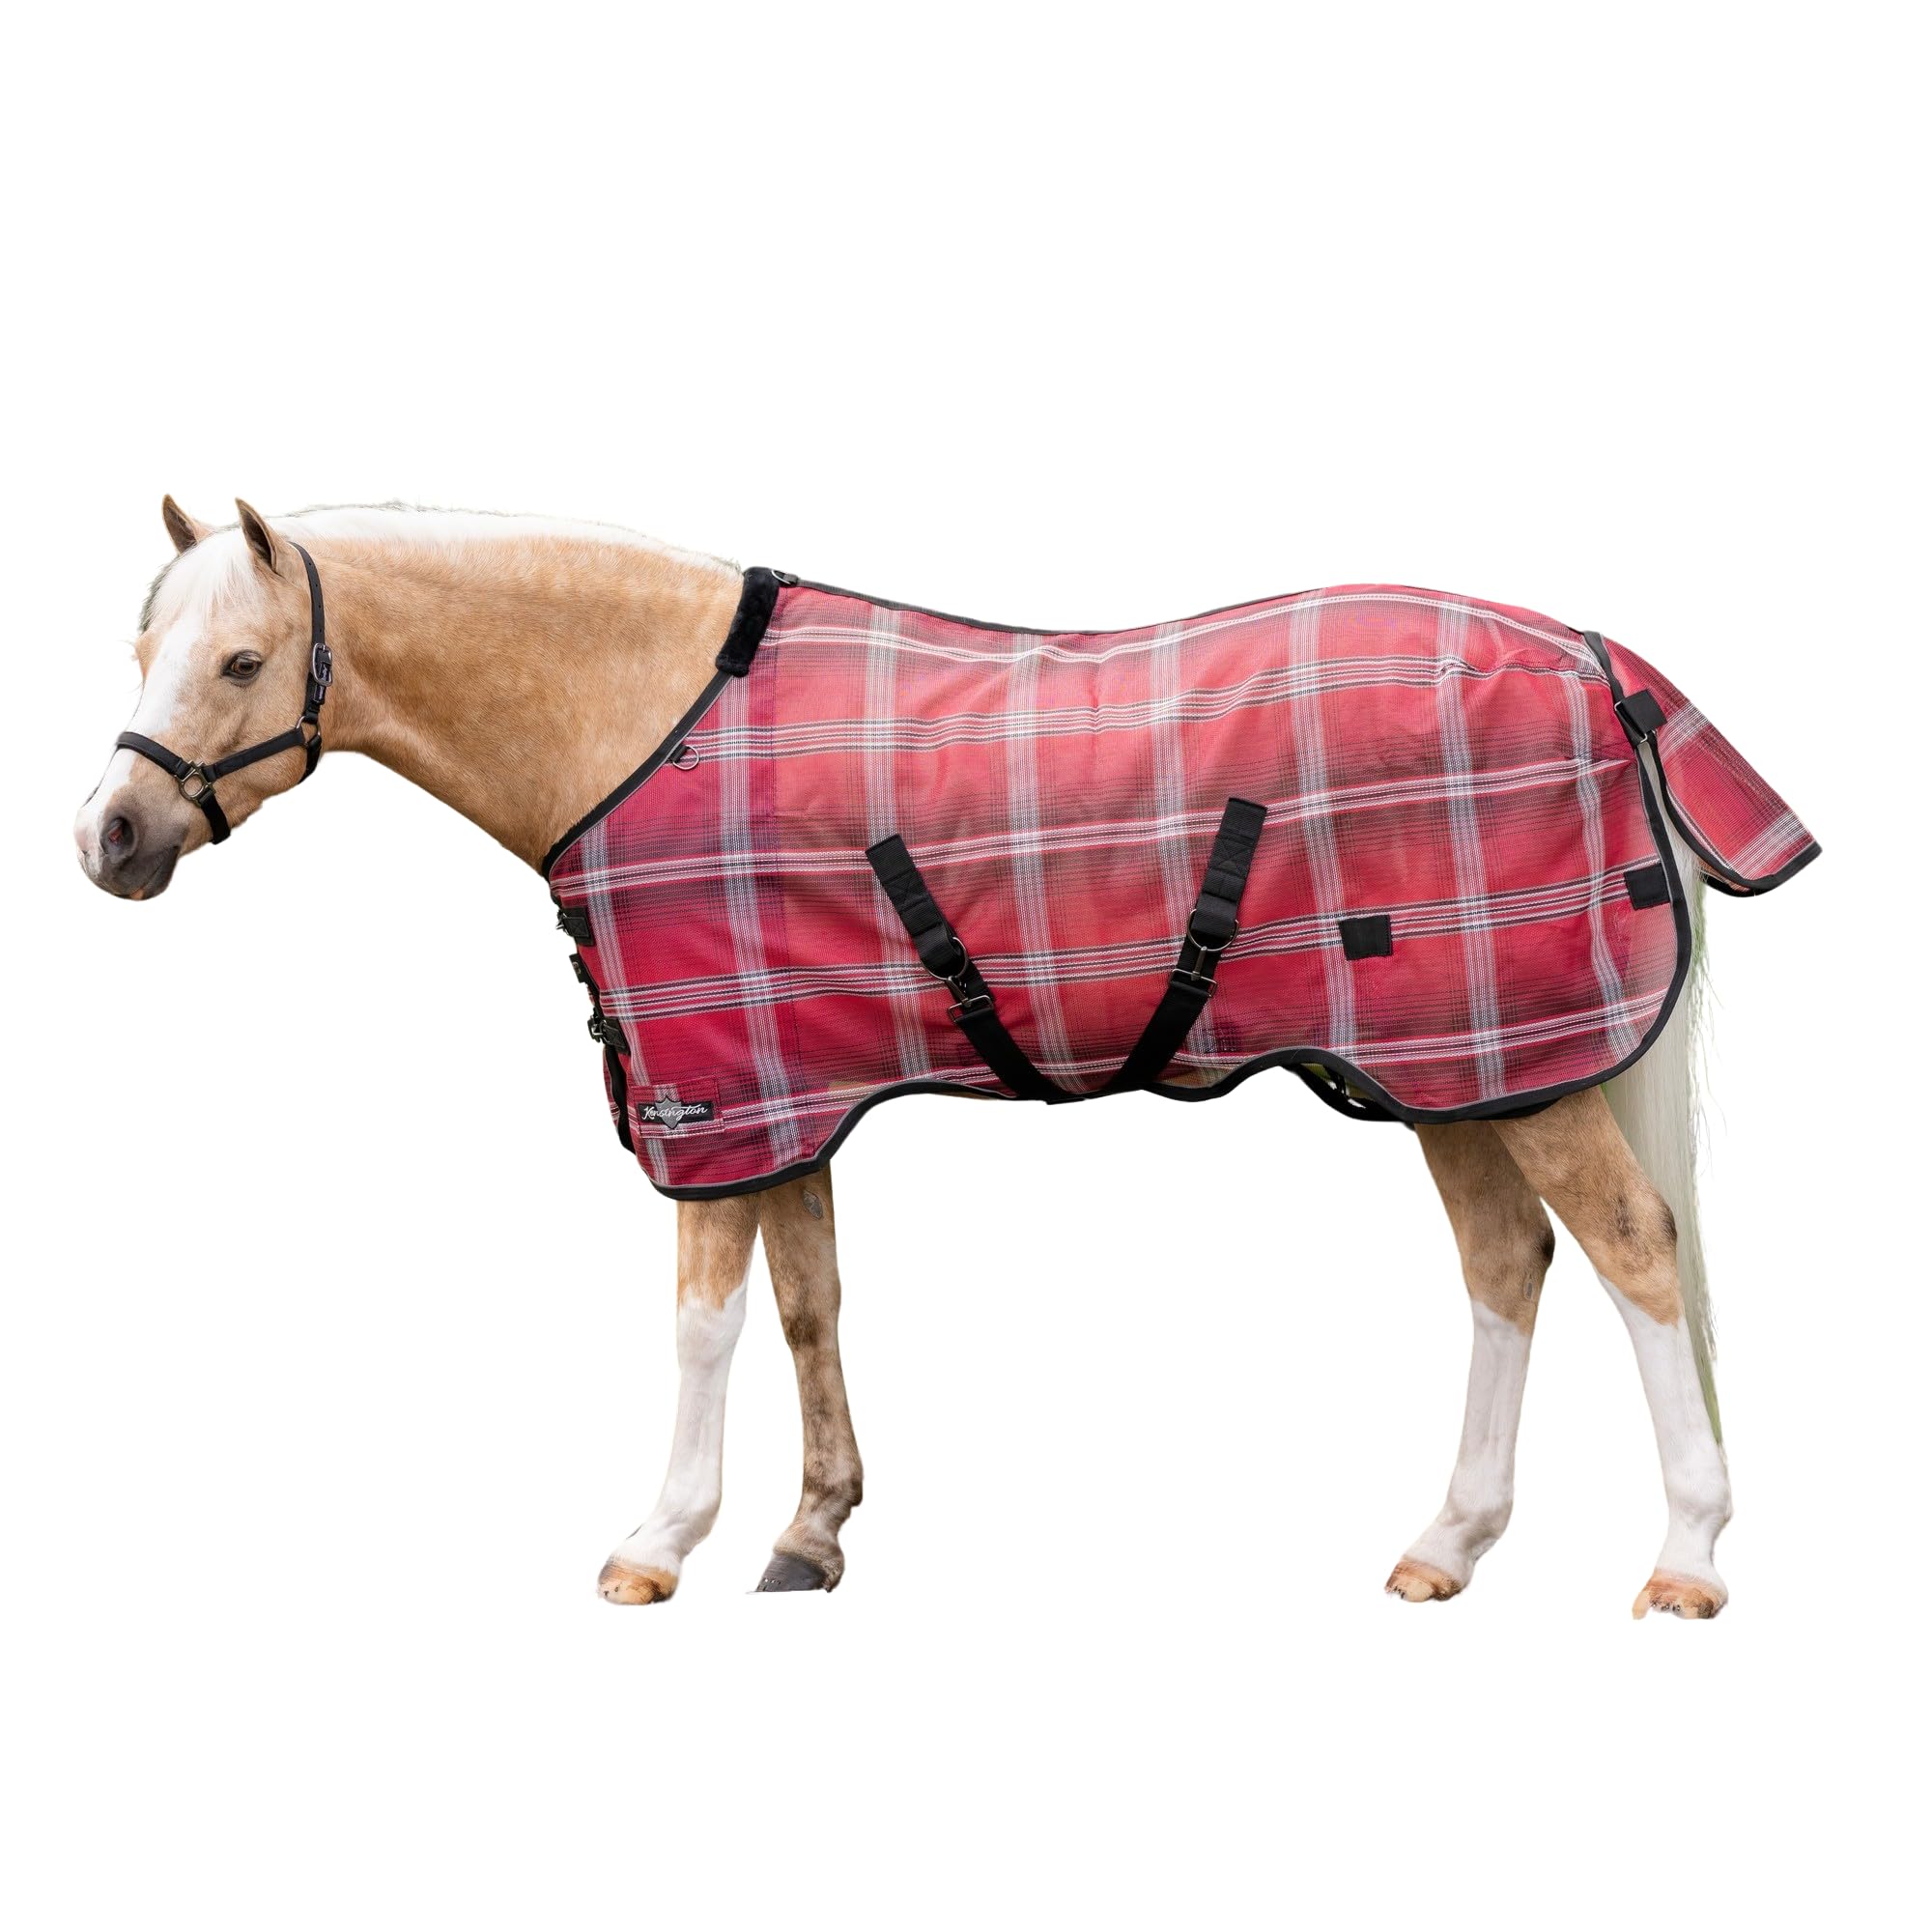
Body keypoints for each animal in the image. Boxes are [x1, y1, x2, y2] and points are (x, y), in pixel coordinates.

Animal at [75, 497, 1805, 1619]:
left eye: (242, 663)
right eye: (142, 640)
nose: (111, 839)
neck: (639, 721)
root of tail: (1602, 662)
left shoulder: (715, 1098)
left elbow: (703, 1328)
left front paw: (660, 1539)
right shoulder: (789, 1095)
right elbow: (807, 1305)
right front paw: (810, 1537)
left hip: (1519, 1074)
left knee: (1635, 1251)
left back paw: (1689, 1557)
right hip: (1463, 1072)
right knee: (1509, 1263)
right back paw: (1448, 1541)